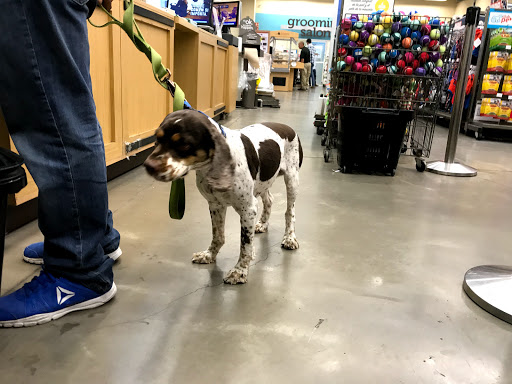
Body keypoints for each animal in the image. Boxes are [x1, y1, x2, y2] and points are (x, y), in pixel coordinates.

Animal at [144, 109, 302, 284]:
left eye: (184, 145)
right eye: (157, 139)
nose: (149, 166)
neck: (212, 167)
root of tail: (287, 127)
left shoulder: (248, 209)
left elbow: (245, 244)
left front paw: (240, 271)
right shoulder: (215, 205)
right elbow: (218, 235)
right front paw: (209, 255)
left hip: (292, 180)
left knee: (290, 212)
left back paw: (289, 238)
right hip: (263, 182)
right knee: (269, 200)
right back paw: (262, 224)